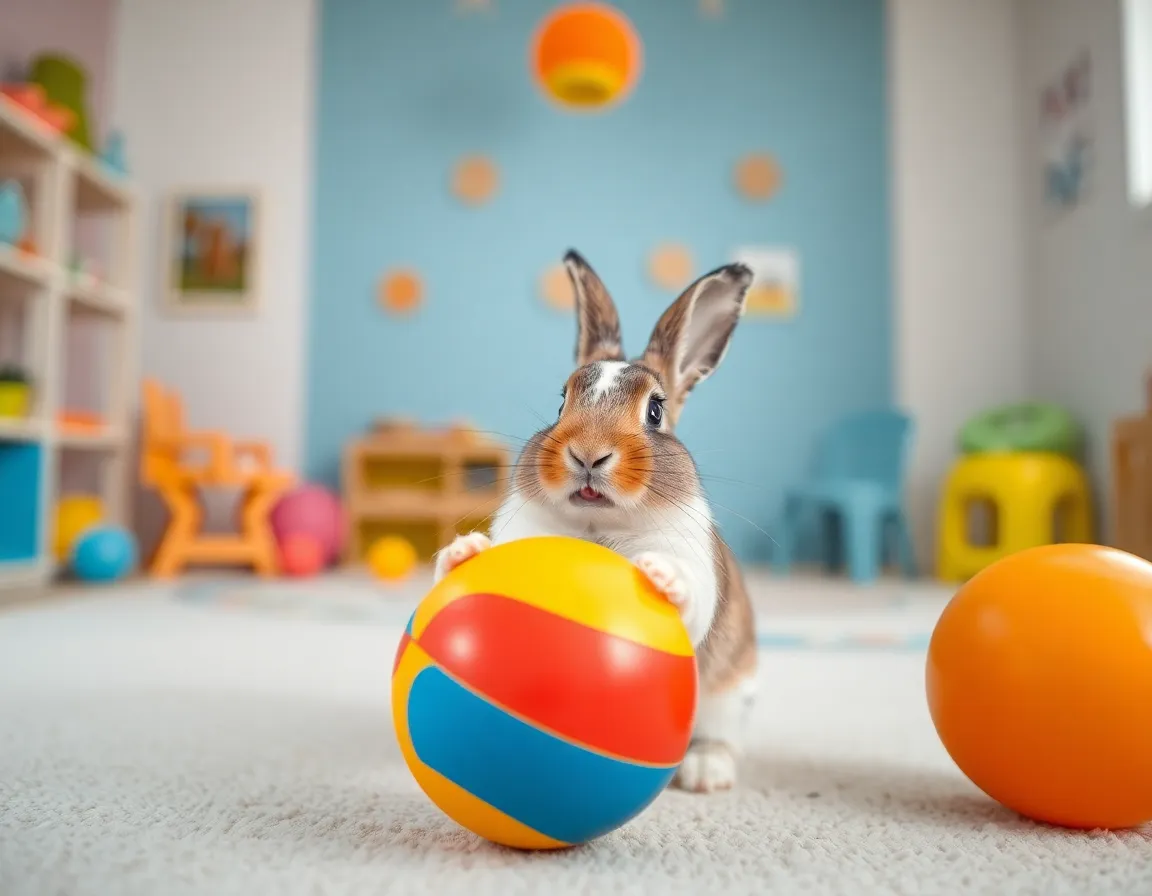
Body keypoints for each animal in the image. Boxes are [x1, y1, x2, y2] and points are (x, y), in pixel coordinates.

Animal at [433, 249, 759, 794]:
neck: (596, 524)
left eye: (655, 410)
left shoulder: (695, 561)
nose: (587, 454)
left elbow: (691, 595)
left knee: (721, 740)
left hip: (729, 699)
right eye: (561, 399)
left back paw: (703, 772)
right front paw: (463, 552)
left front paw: (661, 575)